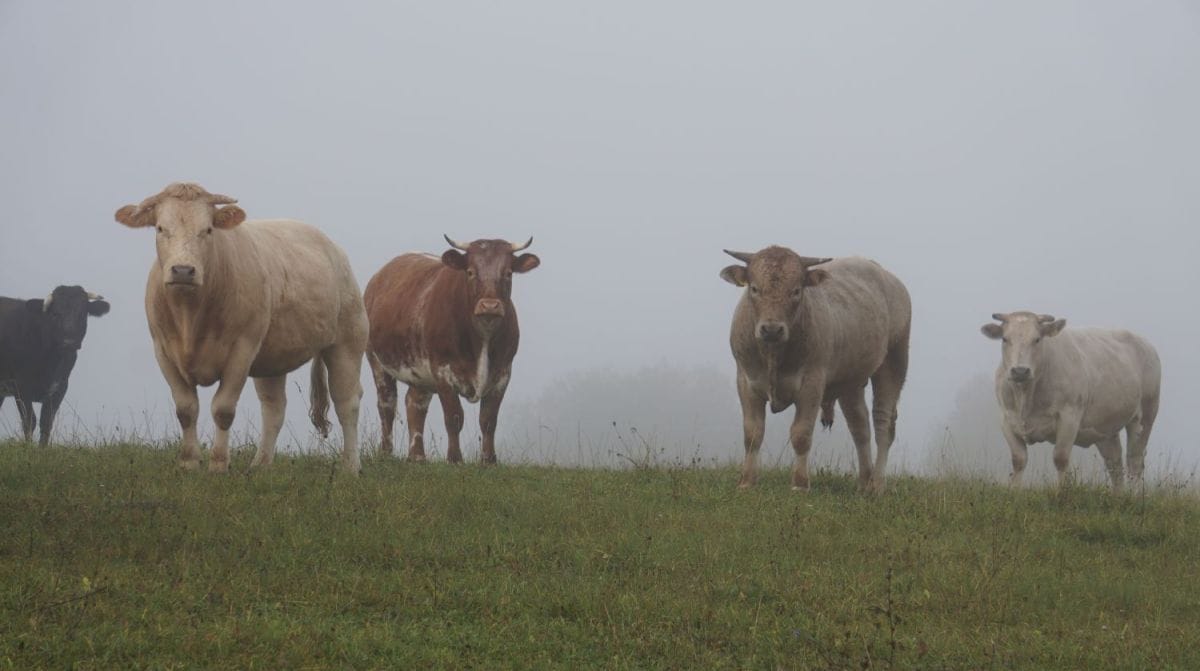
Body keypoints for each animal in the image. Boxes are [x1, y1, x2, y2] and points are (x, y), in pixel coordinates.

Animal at [0, 284, 109, 446]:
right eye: (55, 314)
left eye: (83, 314)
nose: (69, 342)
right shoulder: (21, 386)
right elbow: (29, 421)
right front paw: (27, 448)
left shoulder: (60, 387)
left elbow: (46, 422)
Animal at [115, 178, 364, 472]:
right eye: (160, 228)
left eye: (208, 229)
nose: (183, 271)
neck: (190, 316)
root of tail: (333, 248)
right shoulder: (163, 351)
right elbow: (186, 410)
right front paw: (189, 463)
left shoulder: (242, 349)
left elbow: (223, 409)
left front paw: (218, 465)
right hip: (273, 357)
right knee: (274, 408)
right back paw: (260, 466)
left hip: (348, 342)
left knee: (347, 402)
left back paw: (350, 467)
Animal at [360, 237, 540, 468]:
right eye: (470, 271)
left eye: (508, 272)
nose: (490, 305)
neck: (482, 337)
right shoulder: (442, 371)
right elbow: (454, 417)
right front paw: (455, 459)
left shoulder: (503, 373)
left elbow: (488, 420)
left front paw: (489, 460)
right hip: (377, 361)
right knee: (387, 405)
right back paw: (386, 452)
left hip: (420, 372)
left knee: (414, 404)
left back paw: (417, 456)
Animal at [720, 247, 907, 494]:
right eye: (754, 288)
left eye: (796, 290)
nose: (771, 329)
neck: (773, 354)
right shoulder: (745, 381)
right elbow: (752, 433)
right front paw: (747, 481)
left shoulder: (812, 384)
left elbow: (801, 433)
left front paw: (800, 483)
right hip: (851, 380)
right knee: (859, 426)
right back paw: (863, 482)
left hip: (894, 359)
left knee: (883, 423)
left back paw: (876, 484)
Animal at [979, 312, 1156, 492]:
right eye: (1005, 339)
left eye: (1037, 339)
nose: (1020, 371)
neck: (1026, 397)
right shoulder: (1006, 419)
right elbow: (1018, 459)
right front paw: (1014, 490)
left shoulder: (1069, 416)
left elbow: (1060, 458)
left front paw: (1061, 491)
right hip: (1105, 427)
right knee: (1114, 463)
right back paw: (1118, 495)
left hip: (1145, 415)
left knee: (1135, 460)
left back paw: (1133, 494)